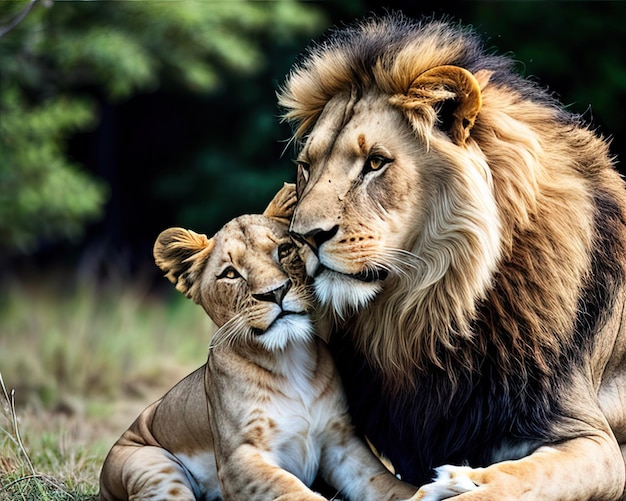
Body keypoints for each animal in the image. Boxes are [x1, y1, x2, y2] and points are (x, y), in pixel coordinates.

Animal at [97, 184, 414, 500]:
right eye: (230, 273)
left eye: (284, 250)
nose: (275, 292)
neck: (290, 358)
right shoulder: (238, 458)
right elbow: (291, 490)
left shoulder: (343, 443)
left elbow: (384, 482)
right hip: (152, 465)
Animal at [276, 13, 624, 498]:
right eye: (307, 167)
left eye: (375, 163)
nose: (304, 237)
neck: (430, 309)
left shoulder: (596, 443)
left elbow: (517, 480)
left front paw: (461, 480)